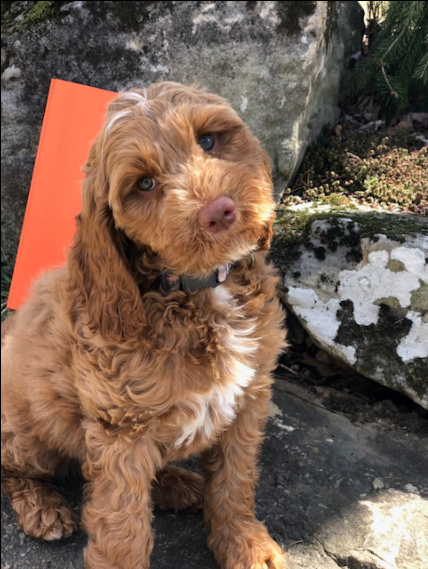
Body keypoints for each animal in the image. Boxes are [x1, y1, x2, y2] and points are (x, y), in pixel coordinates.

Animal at [1, 81, 288, 568]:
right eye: (145, 183)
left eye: (208, 140)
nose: (220, 211)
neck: (199, 291)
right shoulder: (122, 430)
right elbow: (123, 526)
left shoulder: (249, 399)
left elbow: (235, 480)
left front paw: (245, 545)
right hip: (30, 432)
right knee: (11, 465)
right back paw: (42, 506)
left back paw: (176, 483)